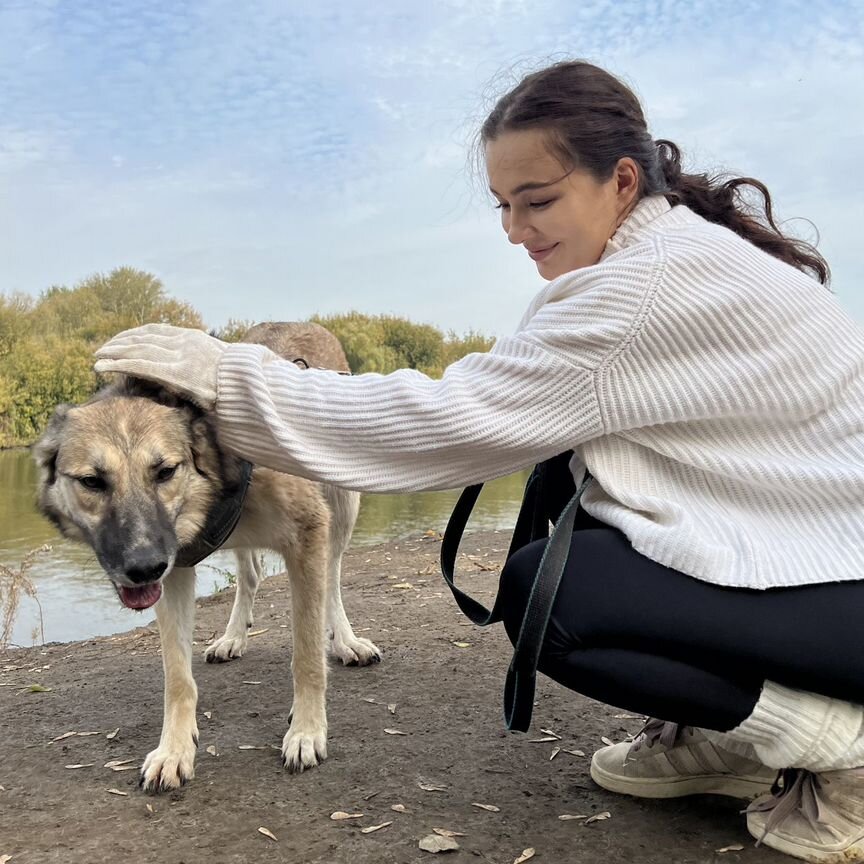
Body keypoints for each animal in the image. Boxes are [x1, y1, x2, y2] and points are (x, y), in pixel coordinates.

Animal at [33, 322, 378, 788]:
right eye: (92, 481)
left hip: (342, 509)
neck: (214, 477)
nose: (143, 568)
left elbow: (306, 654)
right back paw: (233, 636)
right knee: (251, 575)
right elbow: (178, 676)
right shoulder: (174, 570)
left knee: (334, 579)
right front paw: (174, 749)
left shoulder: (309, 535)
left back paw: (345, 640)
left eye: (165, 471)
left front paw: (306, 730)